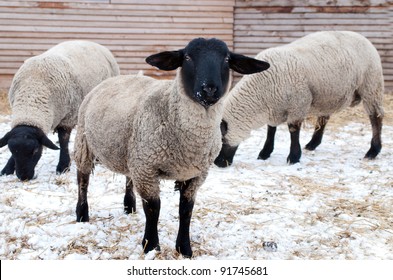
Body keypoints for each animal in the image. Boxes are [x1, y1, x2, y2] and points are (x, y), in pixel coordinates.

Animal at [0, 41, 119, 182]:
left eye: (35, 150)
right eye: (12, 151)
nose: (24, 177)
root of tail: (94, 43)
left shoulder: (68, 117)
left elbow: (63, 141)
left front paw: (63, 166)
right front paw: (7, 169)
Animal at [72, 37, 270, 258]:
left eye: (227, 59)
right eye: (187, 57)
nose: (209, 89)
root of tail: (114, 78)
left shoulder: (194, 174)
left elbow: (186, 209)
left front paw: (184, 249)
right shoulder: (147, 168)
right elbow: (153, 209)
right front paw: (151, 246)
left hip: (131, 151)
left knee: (128, 177)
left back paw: (129, 206)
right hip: (84, 142)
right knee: (83, 179)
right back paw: (82, 214)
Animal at [214, 31, 382, 166]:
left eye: (220, 140)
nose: (217, 163)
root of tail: (361, 36)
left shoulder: (298, 105)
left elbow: (293, 130)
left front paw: (293, 157)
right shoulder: (274, 107)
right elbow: (271, 130)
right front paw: (265, 153)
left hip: (371, 86)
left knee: (376, 118)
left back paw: (373, 151)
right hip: (329, 94)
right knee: (323, 118)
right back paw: (312, 144)